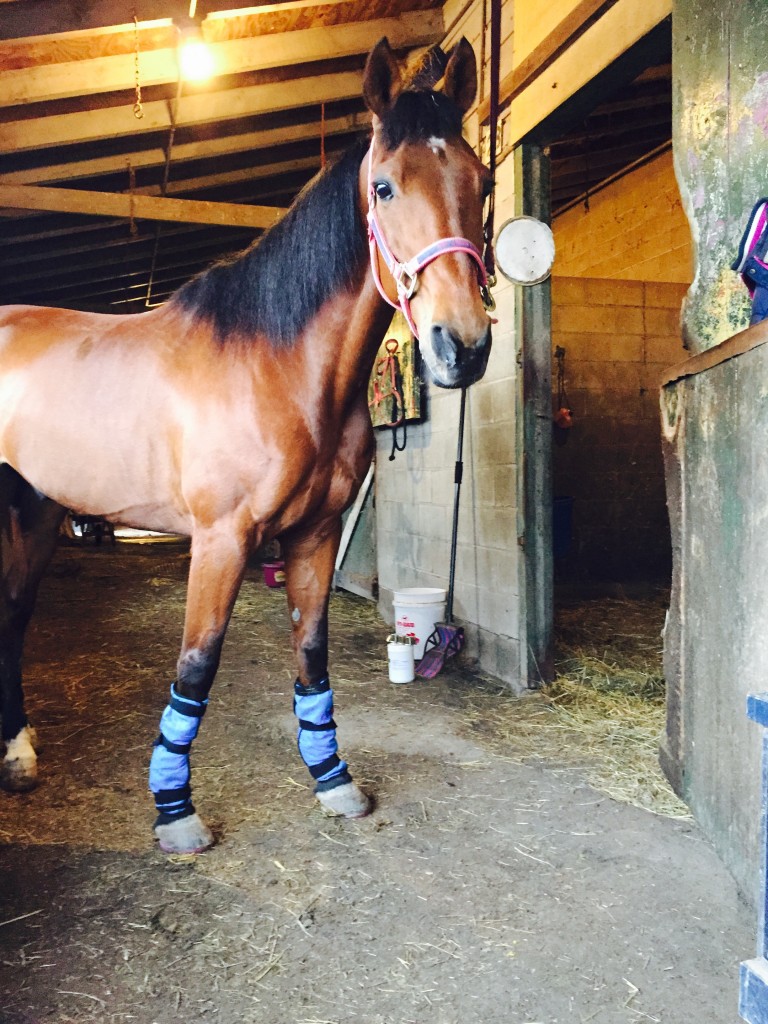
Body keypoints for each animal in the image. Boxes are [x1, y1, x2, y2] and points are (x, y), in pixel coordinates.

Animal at [0, 37, 493, 856]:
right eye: (384, 187)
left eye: (481, 183)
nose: (464, 347)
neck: (276, 364)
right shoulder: (221, 539)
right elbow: (197, 666)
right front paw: (175, 814)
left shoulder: (315, 535)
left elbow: (311, 654)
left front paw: (333, 782)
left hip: (37, 512)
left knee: (13, 613)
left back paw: (19, 757)